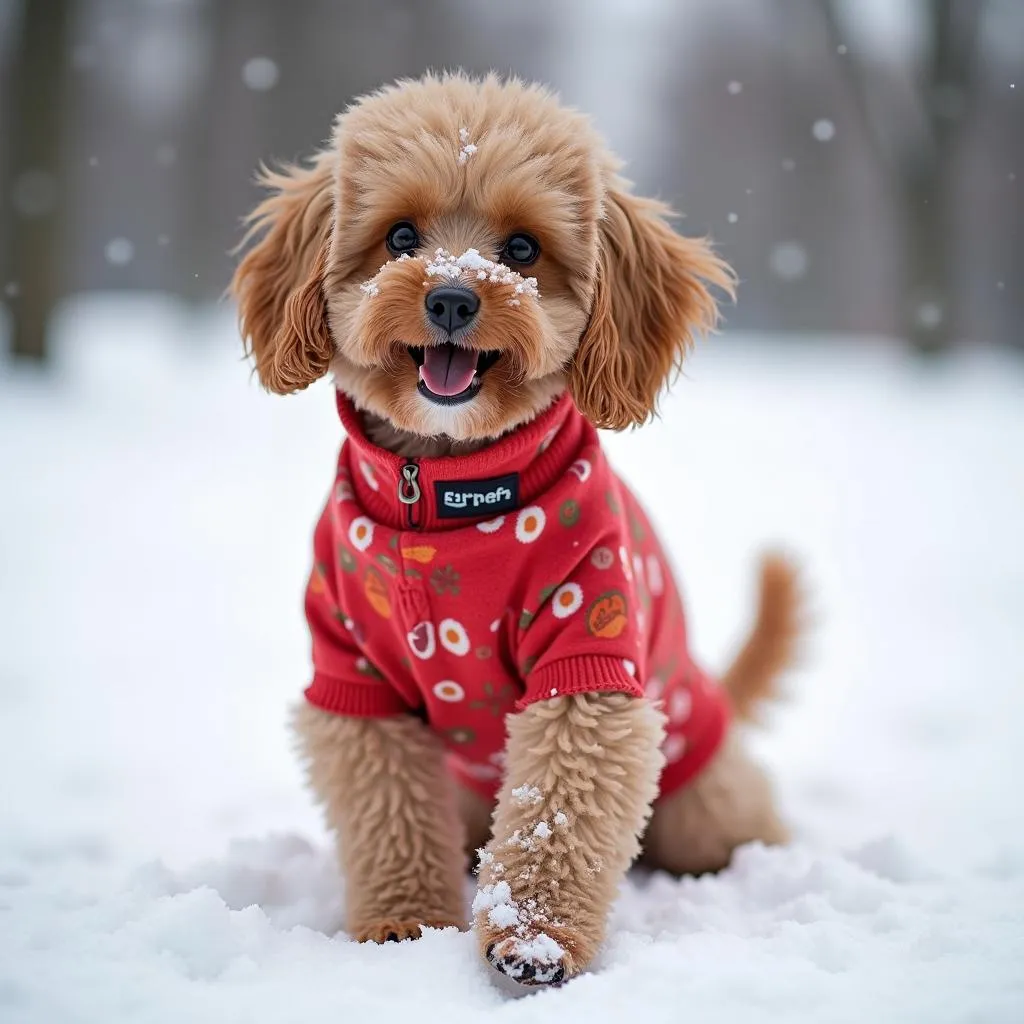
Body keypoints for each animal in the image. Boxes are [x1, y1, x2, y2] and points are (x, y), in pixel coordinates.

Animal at [232, 70, 798, 983]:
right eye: (400, 236)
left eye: (523, 250)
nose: (452, 295)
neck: (446, 503)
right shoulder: (354, 677)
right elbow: (388, 815)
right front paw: (402, 924)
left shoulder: (588, 653)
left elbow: (556, 810)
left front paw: (531, 939)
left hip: (701, 797)